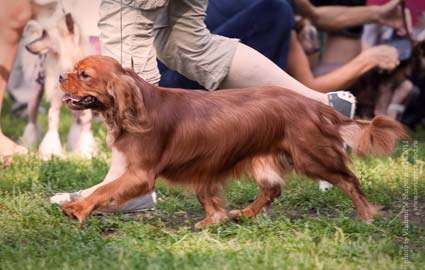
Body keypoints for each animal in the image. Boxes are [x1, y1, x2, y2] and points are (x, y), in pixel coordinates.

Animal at [58, 56, 404, 229]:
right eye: (72, 70)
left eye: (84, 74)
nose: (60, 75)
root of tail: (311, 104)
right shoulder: (202, 166)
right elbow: (207, 196)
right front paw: (216, 219)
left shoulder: (141, 174)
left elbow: (103, 190)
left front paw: (78, 209)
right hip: (264, 159)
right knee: (273, 189)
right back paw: (245, 214)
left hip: (311, 157)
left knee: (349, 180)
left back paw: (367, 215)